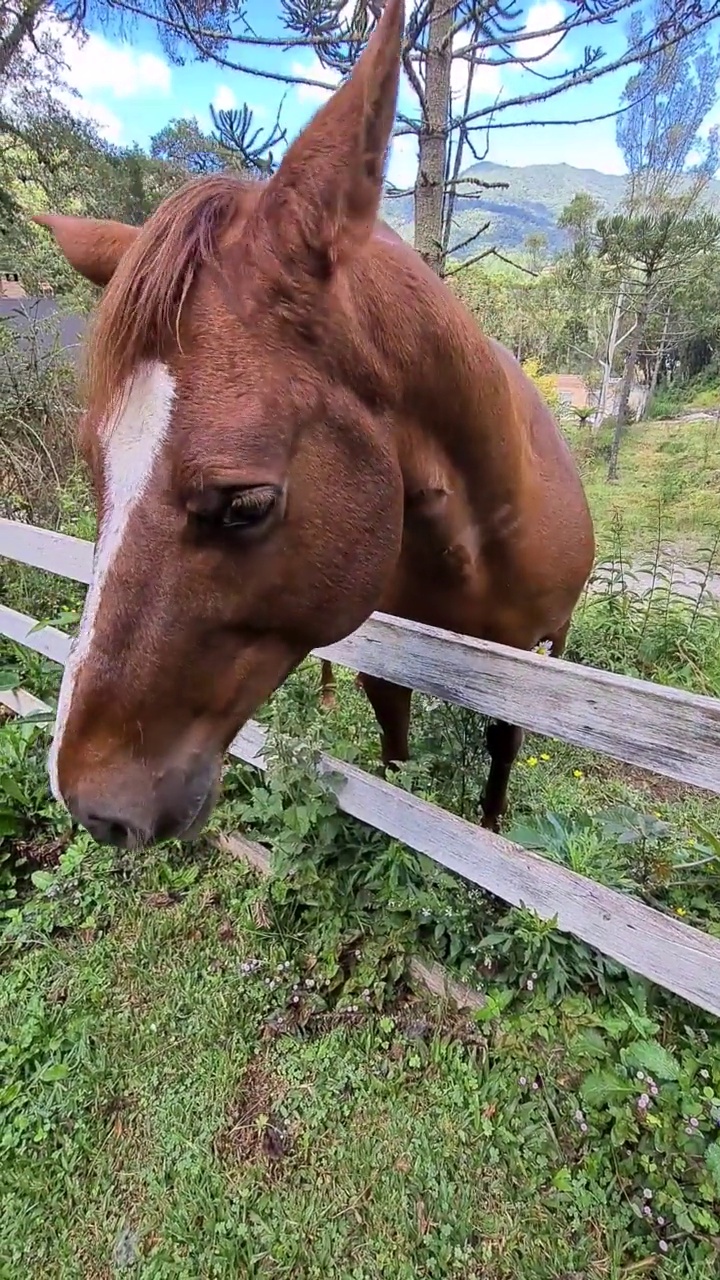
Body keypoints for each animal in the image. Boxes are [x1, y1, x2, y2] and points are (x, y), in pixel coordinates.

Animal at [33, 0, 591, 849]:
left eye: (245, 503)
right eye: (95, 470)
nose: (92, 806)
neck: (485, 537)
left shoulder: (541, 656)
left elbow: (501, 757)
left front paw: (492, 839)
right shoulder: (386, 659)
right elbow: (396, 758)